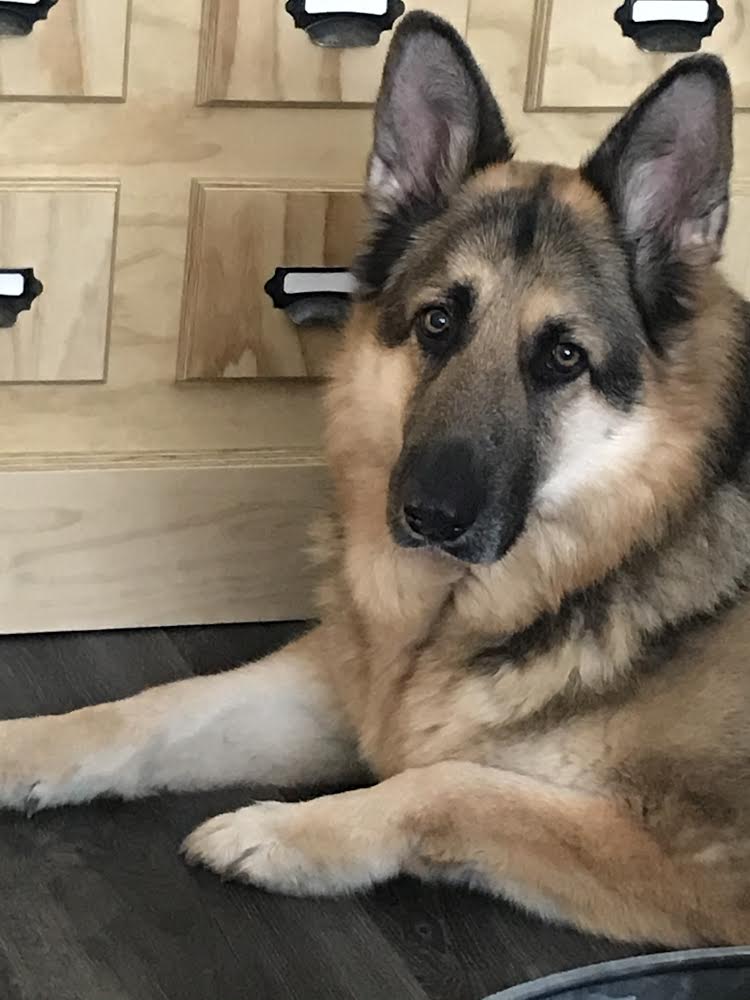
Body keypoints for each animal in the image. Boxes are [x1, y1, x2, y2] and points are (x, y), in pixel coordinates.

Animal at [1, 11, 750, 947]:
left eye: (564, 358)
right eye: (437, 323)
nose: (428, 516)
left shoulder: (709, 864)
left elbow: (449, 784)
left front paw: (287, 833)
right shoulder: (339, 684)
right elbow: (152, 706)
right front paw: (20, 747)